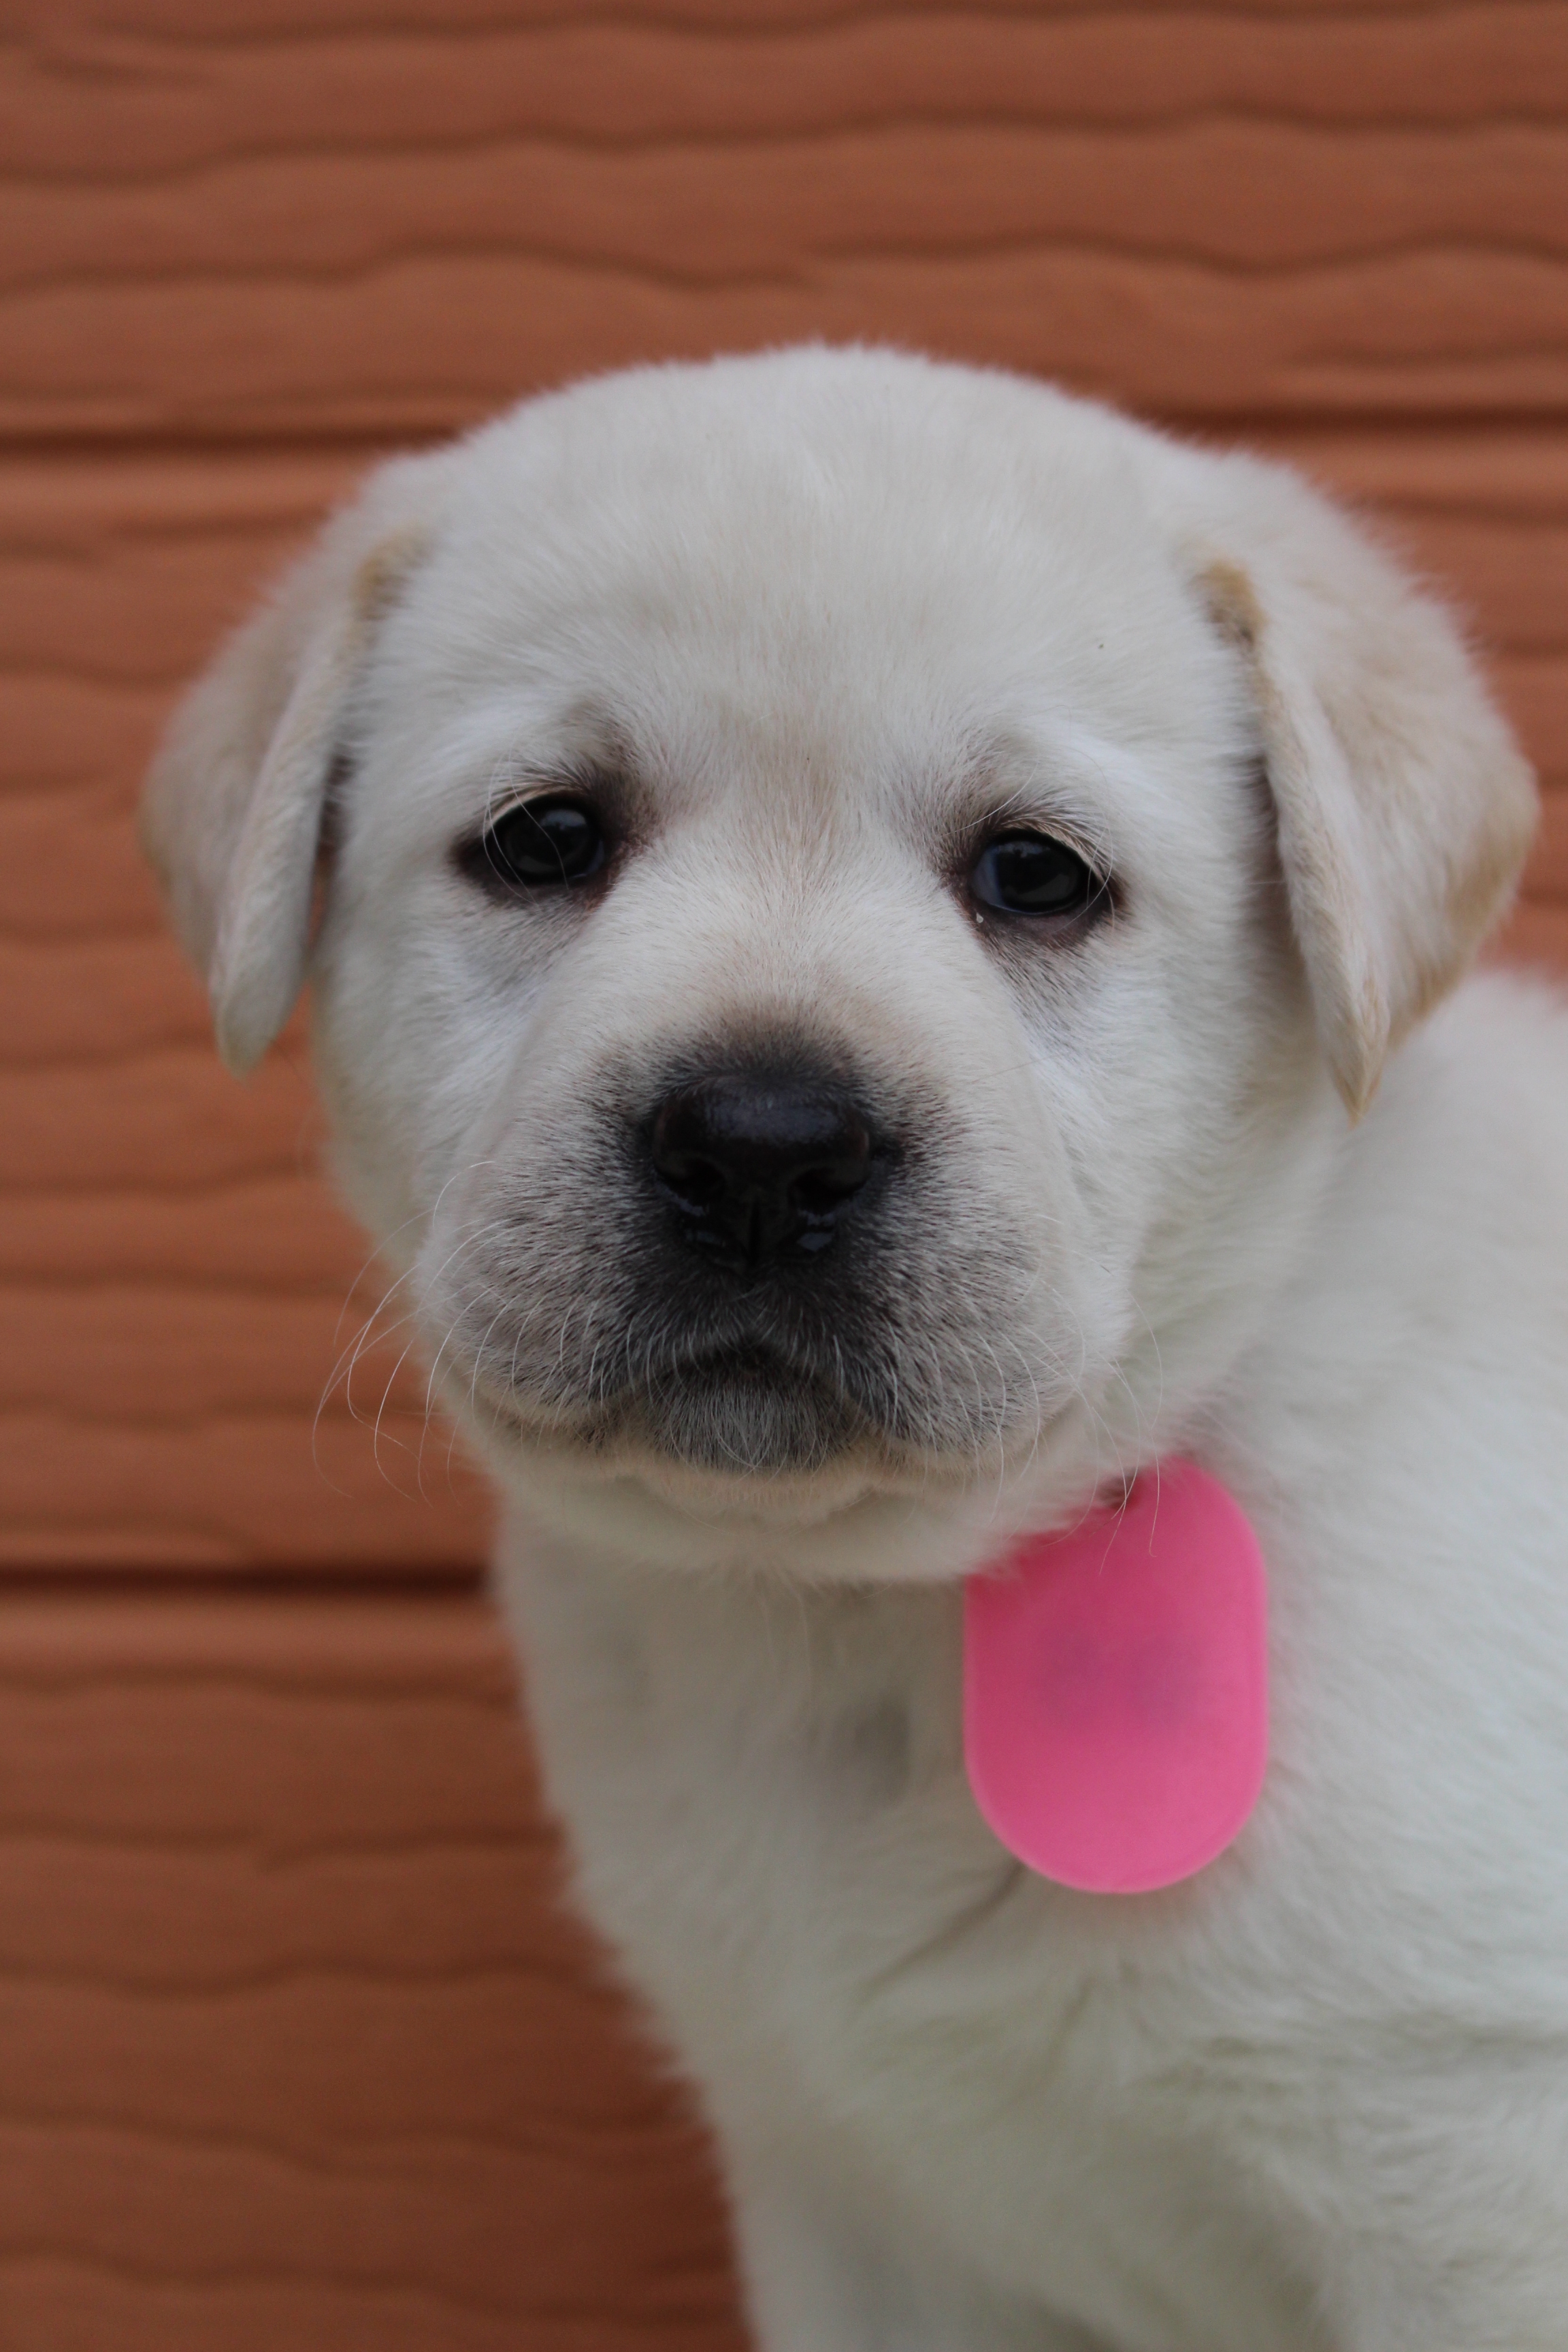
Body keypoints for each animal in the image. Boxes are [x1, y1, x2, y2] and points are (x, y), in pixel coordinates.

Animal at [146, 348, 1568, 2352]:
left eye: (1037, 874)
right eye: (547, 838)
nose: (761, 1146)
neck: (858, 1615)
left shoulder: (1474, 2171)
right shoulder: (852, 2206)